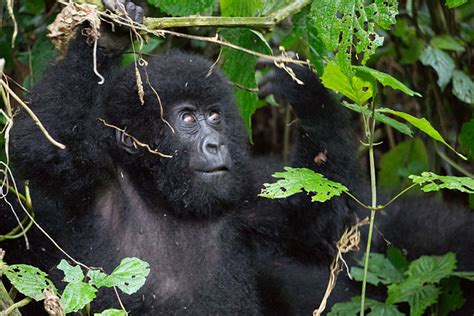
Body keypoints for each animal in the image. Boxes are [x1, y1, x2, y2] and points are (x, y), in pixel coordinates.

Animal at [1, 1, 472, 314]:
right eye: (187, 119)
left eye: (214, 116)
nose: (215, 144)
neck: (162, 198)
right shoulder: (88, 181)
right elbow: (40, 144)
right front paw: (105, 37)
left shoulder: (251, 194)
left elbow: (326, 228)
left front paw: (308, 95)